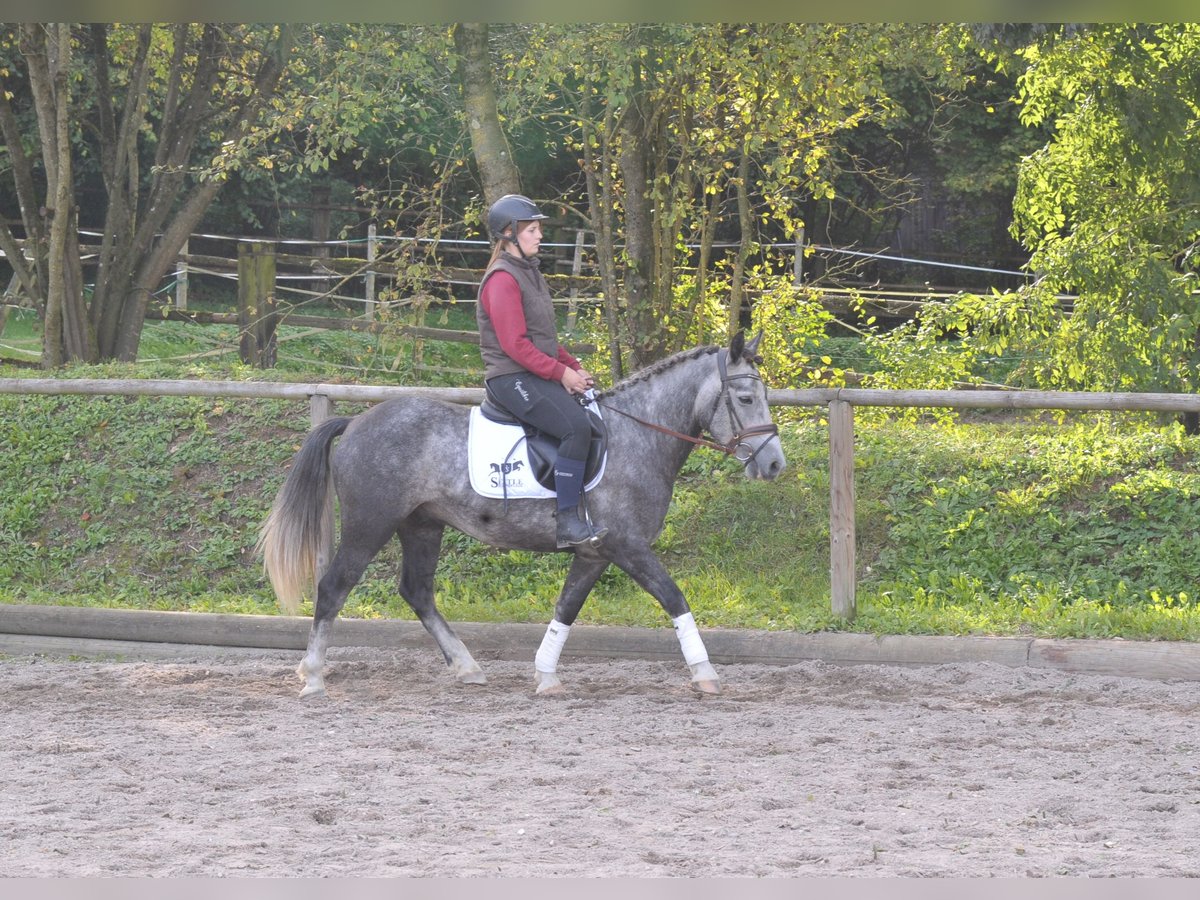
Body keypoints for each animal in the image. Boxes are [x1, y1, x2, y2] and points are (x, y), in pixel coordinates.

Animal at [260, 331, 787, 696]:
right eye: (745, 398)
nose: (775, 464)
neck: (639, 435)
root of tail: (356, 421)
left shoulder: (595, 553)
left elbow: (566, 608)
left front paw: (545, 675)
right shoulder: (628, 545)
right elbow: (674, 598)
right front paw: (705, 672)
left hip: (422, 526)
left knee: (417, 591)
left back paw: (467, 667)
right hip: (370, 524)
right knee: (334, 587)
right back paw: (313, 676)